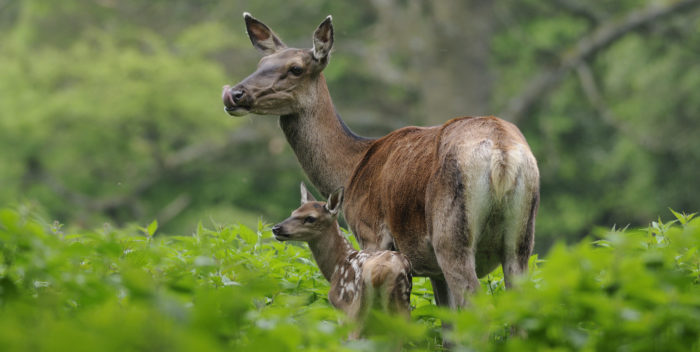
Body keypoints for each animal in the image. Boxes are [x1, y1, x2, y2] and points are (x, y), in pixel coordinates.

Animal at [221, 13, 540, 308]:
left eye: (296, 69)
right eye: (261, 64)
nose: (234, 94)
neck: (352, 168)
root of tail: (502, 154)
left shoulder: (370, 233)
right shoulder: (431, 267)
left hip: (451, 236)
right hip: (521, 241)